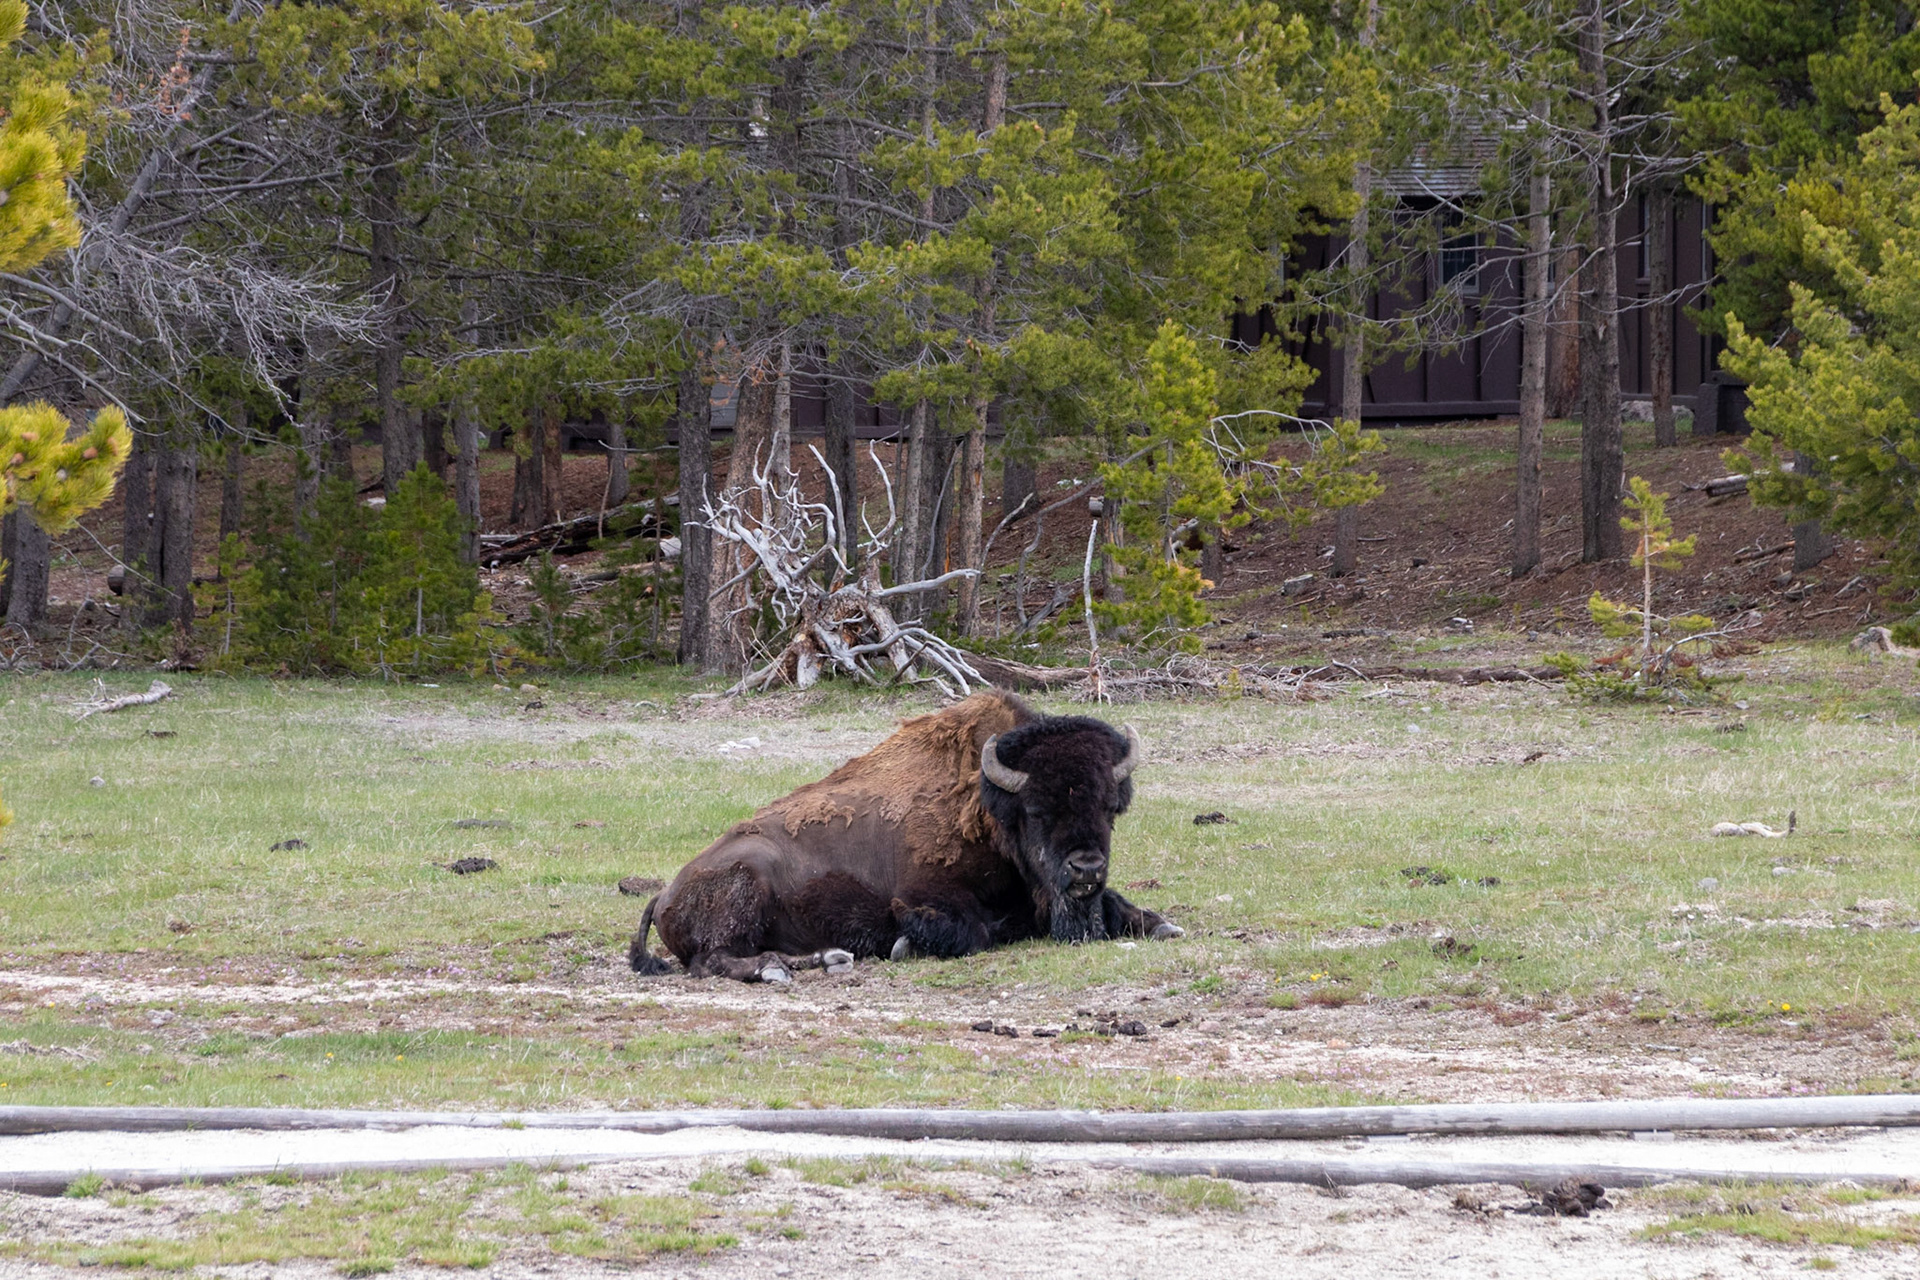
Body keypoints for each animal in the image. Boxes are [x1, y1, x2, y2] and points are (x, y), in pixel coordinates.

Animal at [629, 690, 1182, 982]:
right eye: (1038, 810)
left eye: (1110, 807)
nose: (1086, 867)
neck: (989, 807)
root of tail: (666, 893)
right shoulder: (925, 897)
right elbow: (971, 932)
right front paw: (904, 946)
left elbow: (1118, 905)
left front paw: (1161, 925)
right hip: (746, 885)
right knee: (714, 959)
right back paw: (780, 969)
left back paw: (830, 958)